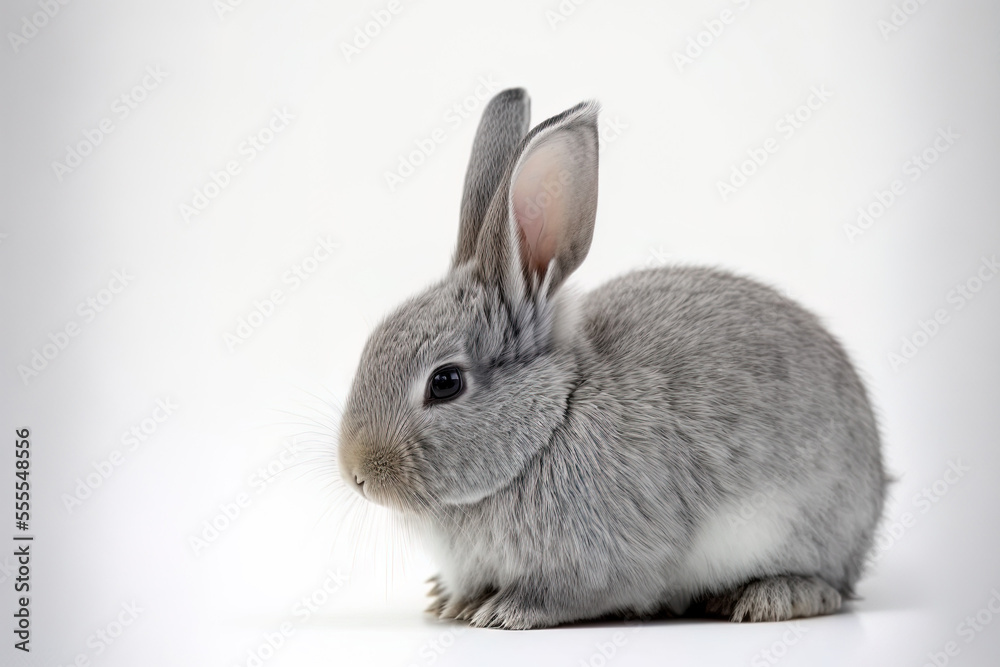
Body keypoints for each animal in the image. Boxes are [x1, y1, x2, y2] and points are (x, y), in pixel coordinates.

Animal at [337, 87, 887, 629]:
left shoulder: (606, 562)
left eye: (445, 382)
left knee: (831, 588)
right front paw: (450, 601)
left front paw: (502, 611)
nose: (356, 473)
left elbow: (570, 594)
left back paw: (769, 597)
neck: (552, 423)